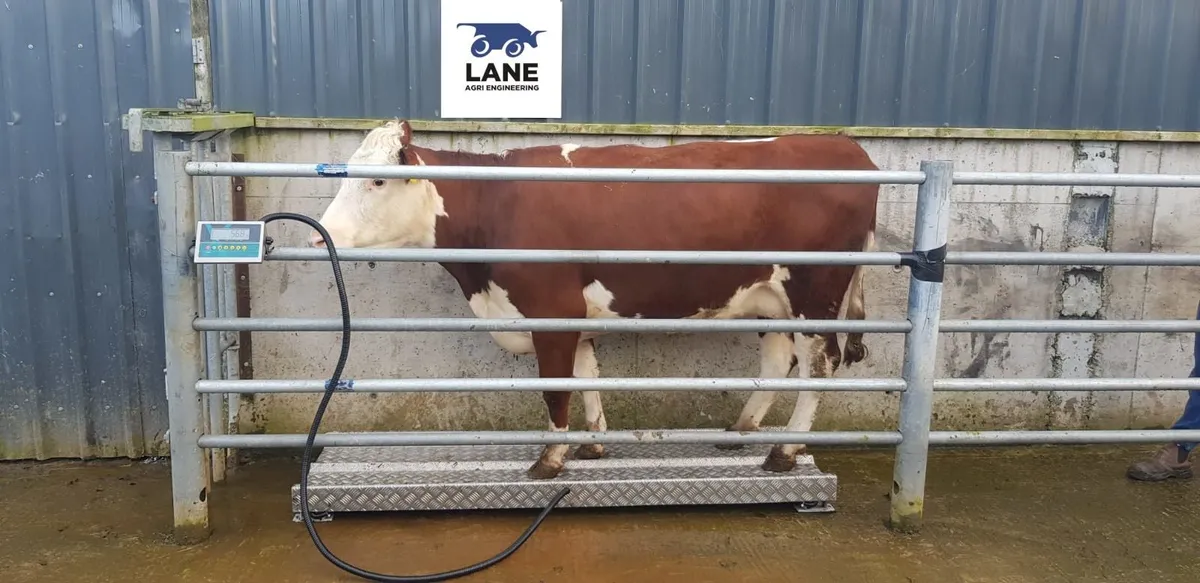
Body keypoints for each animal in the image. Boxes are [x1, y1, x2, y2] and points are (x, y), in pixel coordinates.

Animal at [308, 120, 880, 481]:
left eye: (378, 181)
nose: (321, 235)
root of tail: (848, 149)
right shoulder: (571, 316)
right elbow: (585, 375)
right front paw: (592, 444)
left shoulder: (549, 310)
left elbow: (554, 389)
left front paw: (550, 459)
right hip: (769, 297)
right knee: (780, 359)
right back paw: (741, 431)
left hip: (815, 292)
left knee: (819, 364)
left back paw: (785, 450)